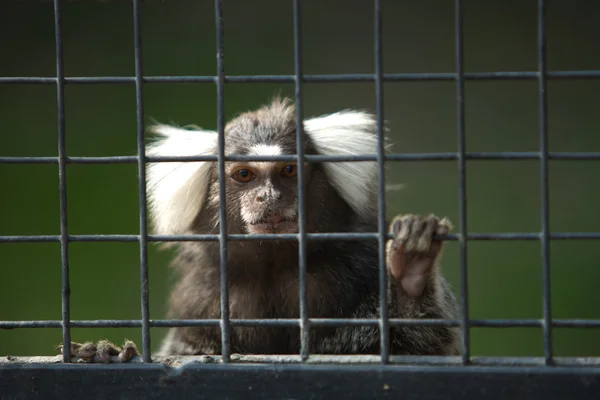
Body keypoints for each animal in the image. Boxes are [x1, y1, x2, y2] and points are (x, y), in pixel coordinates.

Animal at [59, 97, 460, 362]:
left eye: (288, 171)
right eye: (244, 175)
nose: (268, 197)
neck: (274, 267)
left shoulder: (361, 270)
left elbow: (426, 344)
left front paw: (411, 273)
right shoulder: (201, 304)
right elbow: (185, 351)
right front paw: (106, 352)